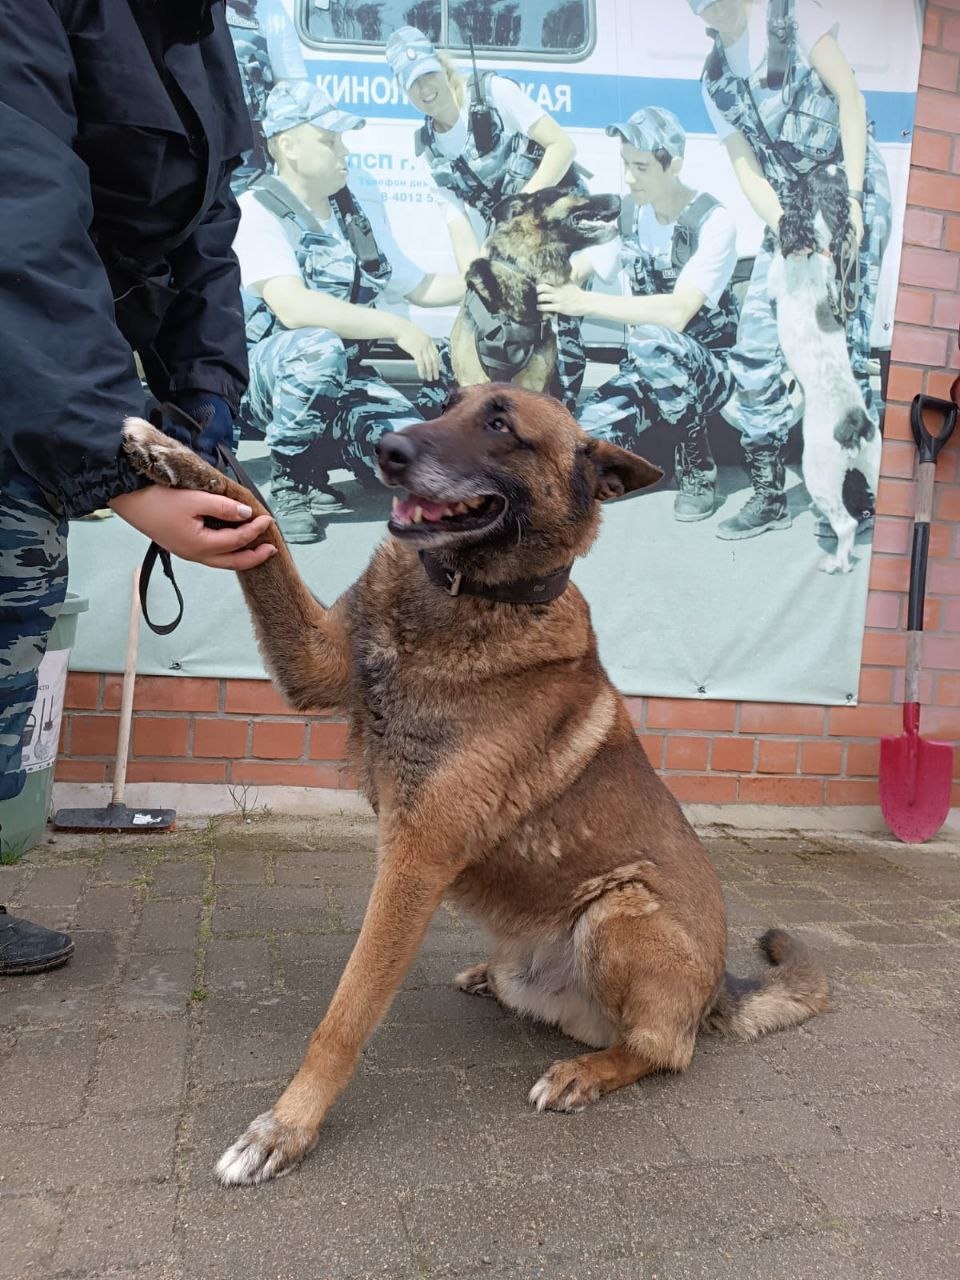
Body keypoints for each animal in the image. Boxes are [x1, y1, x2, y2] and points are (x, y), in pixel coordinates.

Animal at [120, 389, 829, 1187]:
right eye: (444, 403)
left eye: (500, 425)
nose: (384, 448)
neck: (467, 595)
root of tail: (717, 987)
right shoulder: (315, 661)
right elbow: (258, 518)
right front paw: (173, 454)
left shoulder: (415, 859)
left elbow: (346, 1014)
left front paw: (288, 1127)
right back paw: (493, 980)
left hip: (619, 908)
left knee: (664, 1050)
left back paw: (586, 1071)